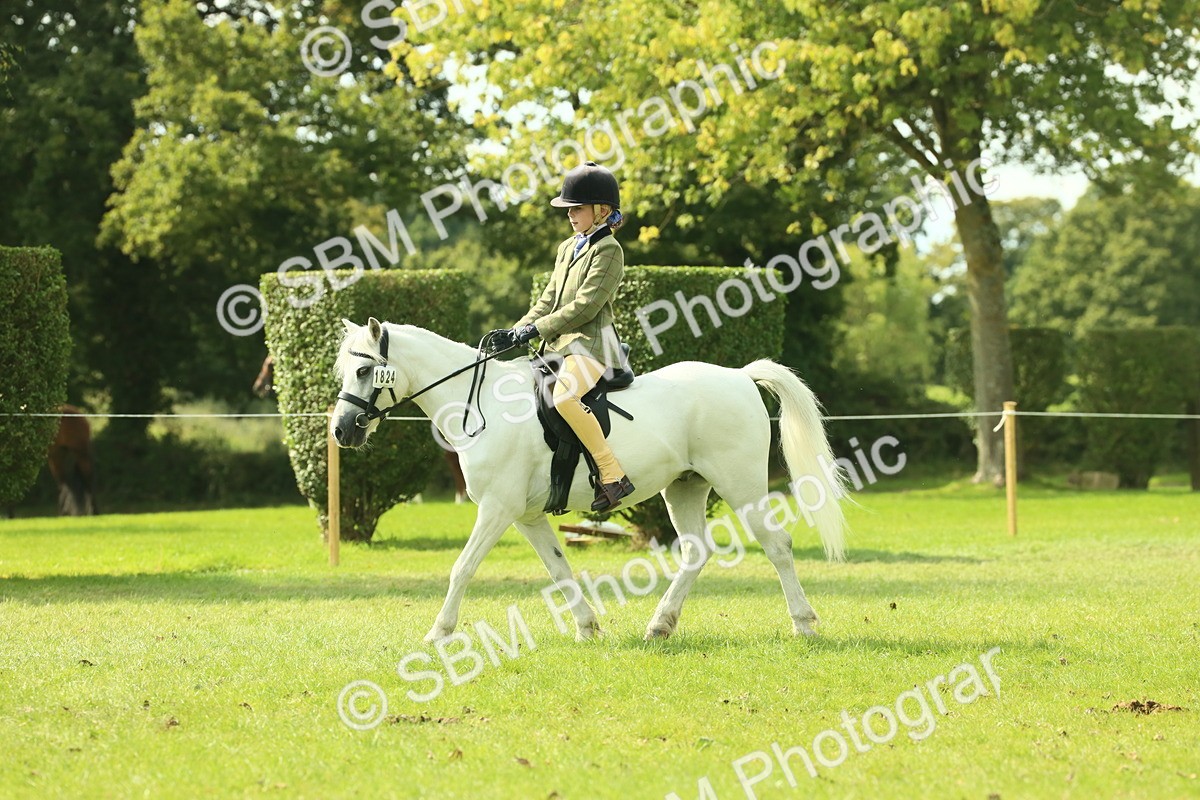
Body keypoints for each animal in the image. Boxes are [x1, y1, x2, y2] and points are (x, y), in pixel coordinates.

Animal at [331, 318, 848, 642]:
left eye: (364, 370)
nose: (341, 431)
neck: (482, 404)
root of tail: (739, 376)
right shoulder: (526, 517)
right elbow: (559, 569)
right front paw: (587, 627)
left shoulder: (497, 509)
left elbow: (462, 568)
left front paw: (438, 631)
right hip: (685, 486)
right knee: (696, 552)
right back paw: (660, 625)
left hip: (741, 485)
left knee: (777, 545)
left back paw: (803, 623)